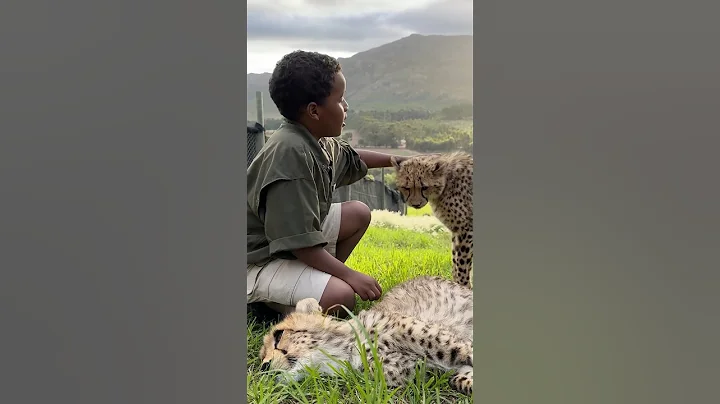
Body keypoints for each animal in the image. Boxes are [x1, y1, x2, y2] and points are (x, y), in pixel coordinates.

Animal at [258, 275, 474, 396]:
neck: (348, 349)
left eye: (279, 335)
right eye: (261, 357)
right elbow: (461, 378)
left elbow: (465, 353)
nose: (263, 368)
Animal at [391, 152, 474, 288]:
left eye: (424, 187)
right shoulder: (457, 231)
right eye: (406, 188)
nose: (416, 204)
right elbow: (455, 261)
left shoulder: (467, 229)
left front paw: (464, 286)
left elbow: (462, 263)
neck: (447, 182)